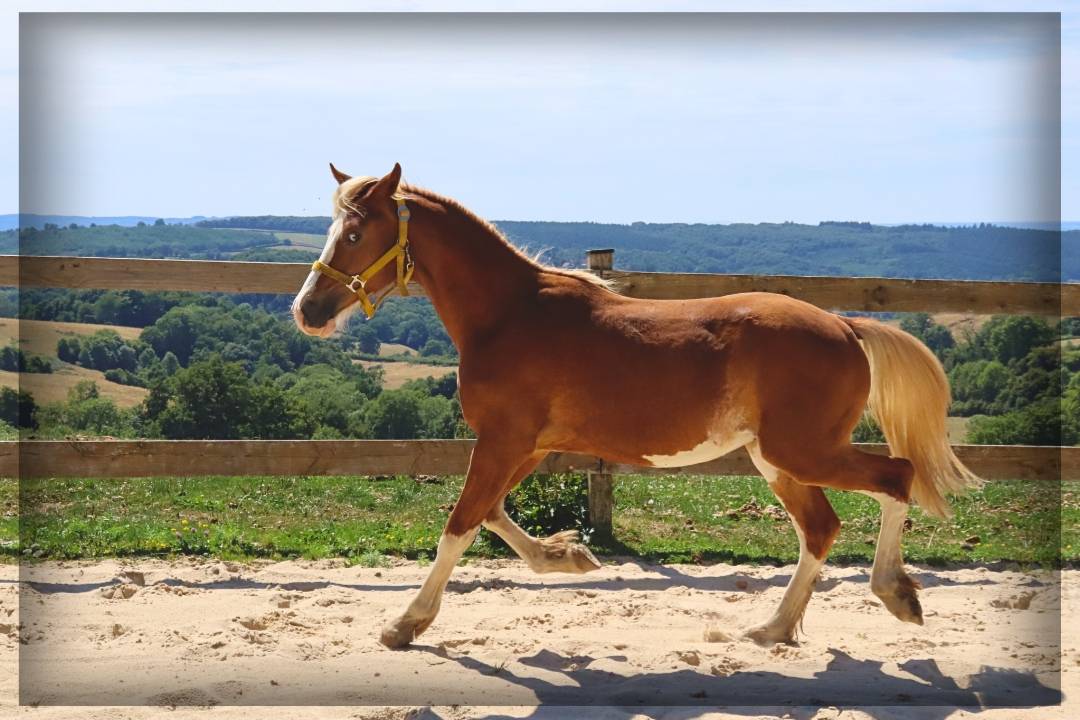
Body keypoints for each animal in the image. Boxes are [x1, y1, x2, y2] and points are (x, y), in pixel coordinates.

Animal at [291, 163, 980, 649]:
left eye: (355, 232)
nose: (308, 311)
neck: (510, 314)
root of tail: (844, 325)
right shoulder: (524, 446)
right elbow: (490, 516)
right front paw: (568, 555)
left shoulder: (504, 441)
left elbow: (459, 525)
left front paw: (404, 623)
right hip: (779, 460)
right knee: (822, 528)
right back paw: (772, 629)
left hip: (802, 451)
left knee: (896, 476)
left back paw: (895, 594)